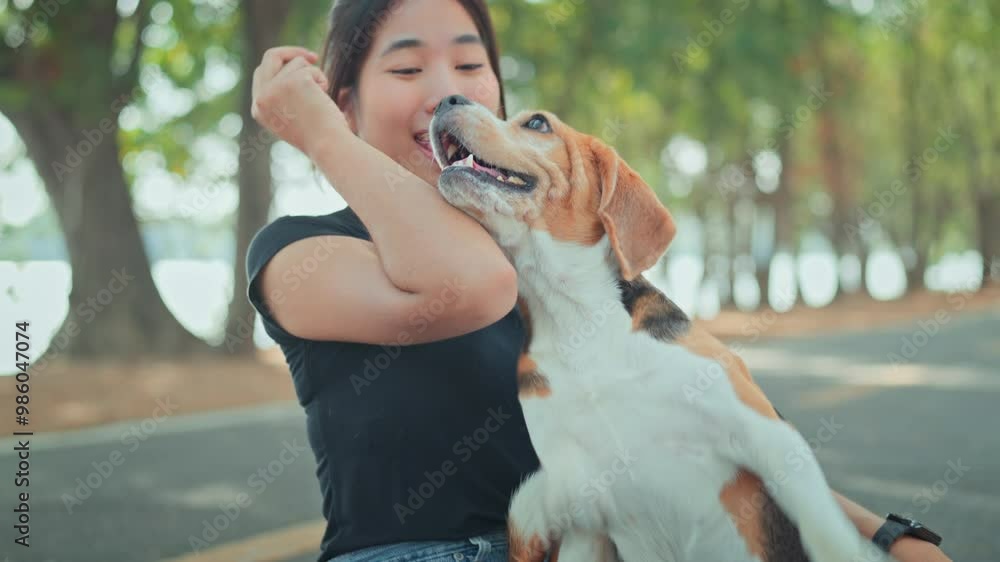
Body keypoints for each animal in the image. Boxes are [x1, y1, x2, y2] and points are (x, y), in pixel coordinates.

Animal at [428, 96, 892, 560]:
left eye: (538, 123)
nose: (446, 100)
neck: (576, 324)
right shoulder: (582, 507)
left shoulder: (771, 440)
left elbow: (830, 537)